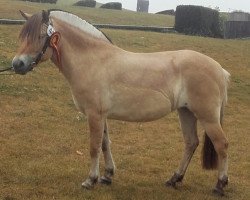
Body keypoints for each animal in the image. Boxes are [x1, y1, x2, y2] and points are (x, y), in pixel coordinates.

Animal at [12, 9, 230, 195]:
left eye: (39, 37)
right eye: (22, 36)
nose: (17, 64)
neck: (93, 61)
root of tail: (220, 70)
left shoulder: (94, 114)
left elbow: (94, 146)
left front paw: (90, 180)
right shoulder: (102, 115)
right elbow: (105, 144)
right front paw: (107, 176)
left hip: (207, 117)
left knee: (222, 144)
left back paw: (219, 185)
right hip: (186, 112)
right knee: (191, 143)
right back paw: (174, 179)